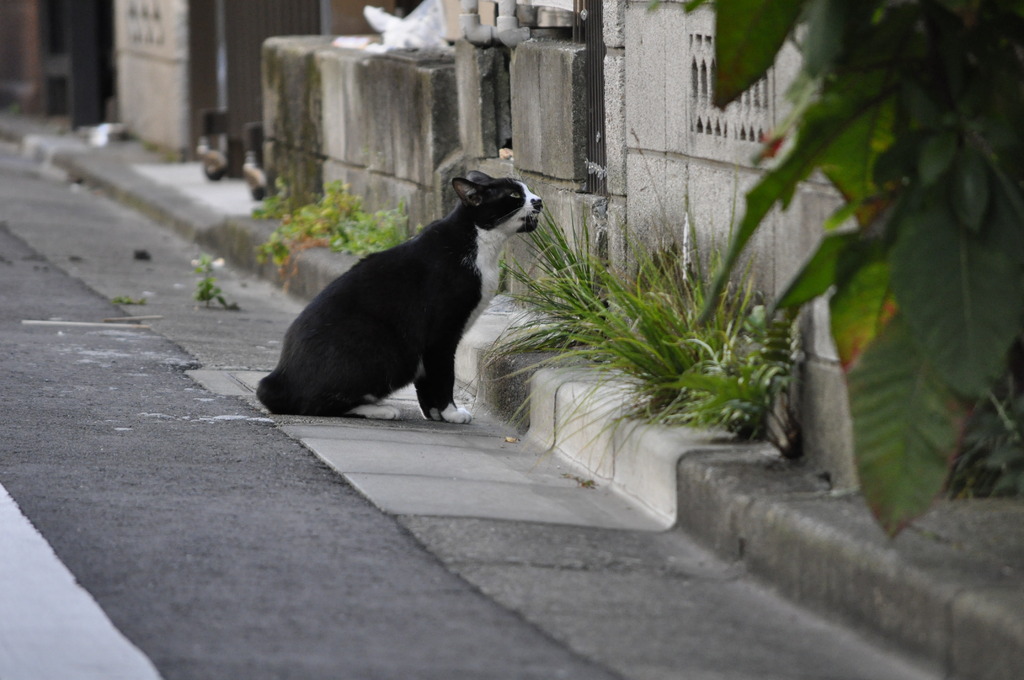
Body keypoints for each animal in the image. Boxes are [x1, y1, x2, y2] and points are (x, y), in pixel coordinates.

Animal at [258, 173, 544, 421]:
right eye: (514, 194)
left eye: (527, 189)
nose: (539, 200)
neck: (478, 241)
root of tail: (278, 379)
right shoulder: (441, 333)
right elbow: (444, 375)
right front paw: (451, 413)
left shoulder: (428, 343)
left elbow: (427, 379)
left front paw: (434, 414)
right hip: (384, 350)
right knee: (316, 404)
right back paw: (380, 410)